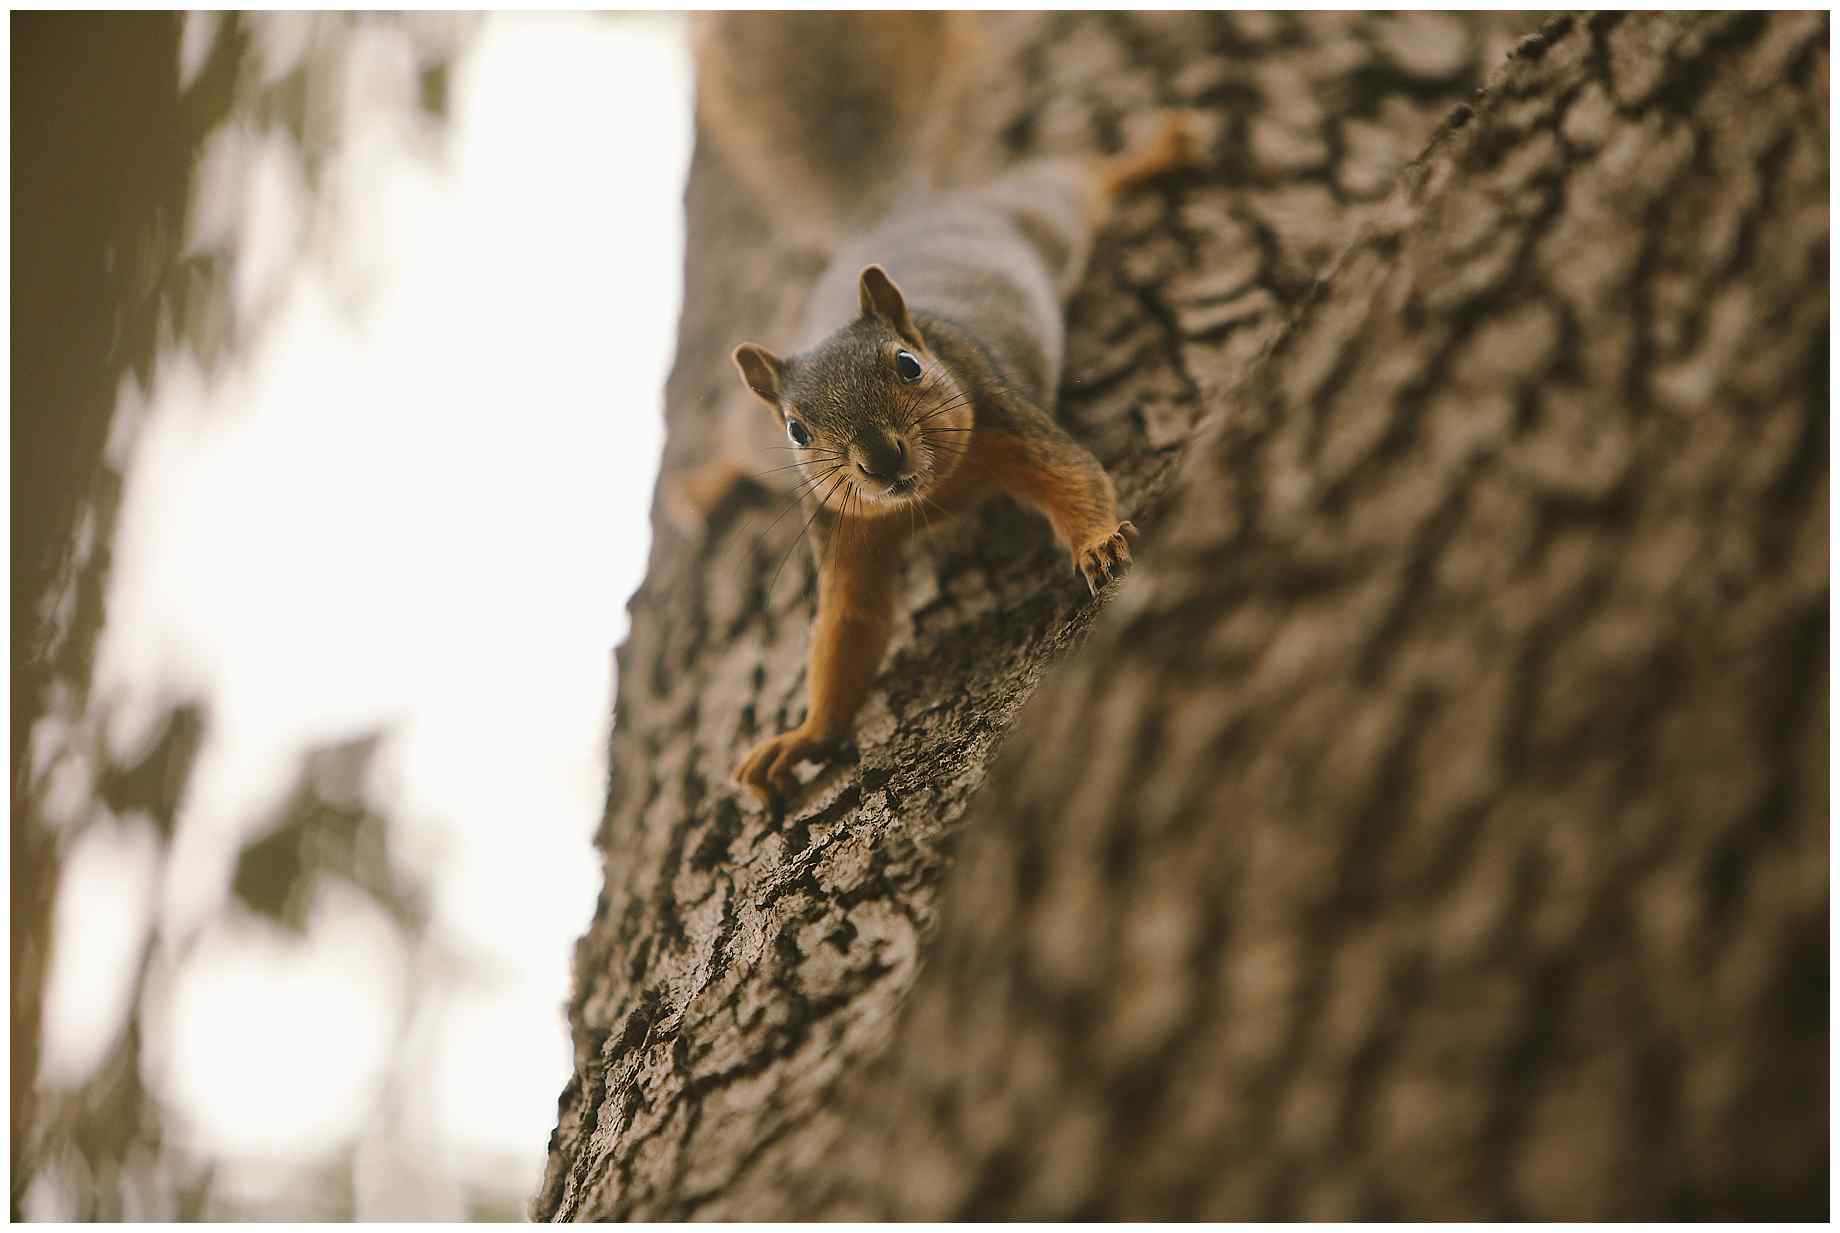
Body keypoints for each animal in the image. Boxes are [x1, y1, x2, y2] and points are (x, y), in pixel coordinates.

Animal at [724, 113, 1199, 809]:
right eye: (795, 430)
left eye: (907, 364)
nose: (881, 459)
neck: (931, 494)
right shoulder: (847, 527)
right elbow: (849, 626)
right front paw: (805, 738)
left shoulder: (1003, 416)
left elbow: (1071, 474)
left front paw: (1098, 543)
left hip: (1043, 211)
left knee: (1082, 177)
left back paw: (1157, 151)